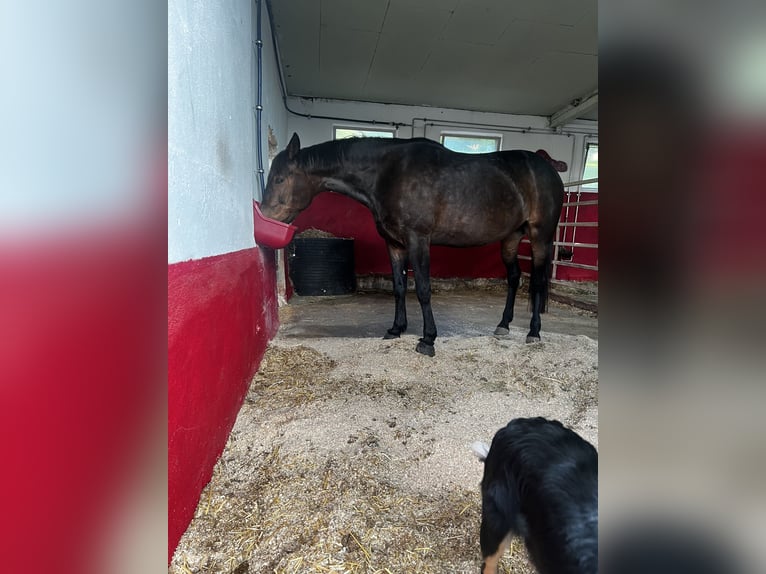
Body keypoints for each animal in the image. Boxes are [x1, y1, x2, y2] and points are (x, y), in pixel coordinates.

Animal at [260, 135, 568, 358]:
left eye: (279, 179)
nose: (263, 217)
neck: (389, 173)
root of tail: (547, 168)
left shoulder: (418, 239)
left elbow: (422, 289)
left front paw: (428, 340)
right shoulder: (395, 244)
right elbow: (399, 287)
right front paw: (396, 329)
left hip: (540, 236)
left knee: (537, 281)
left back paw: (534, 333)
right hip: (511, 238)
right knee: (514, 278)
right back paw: (503, 325)